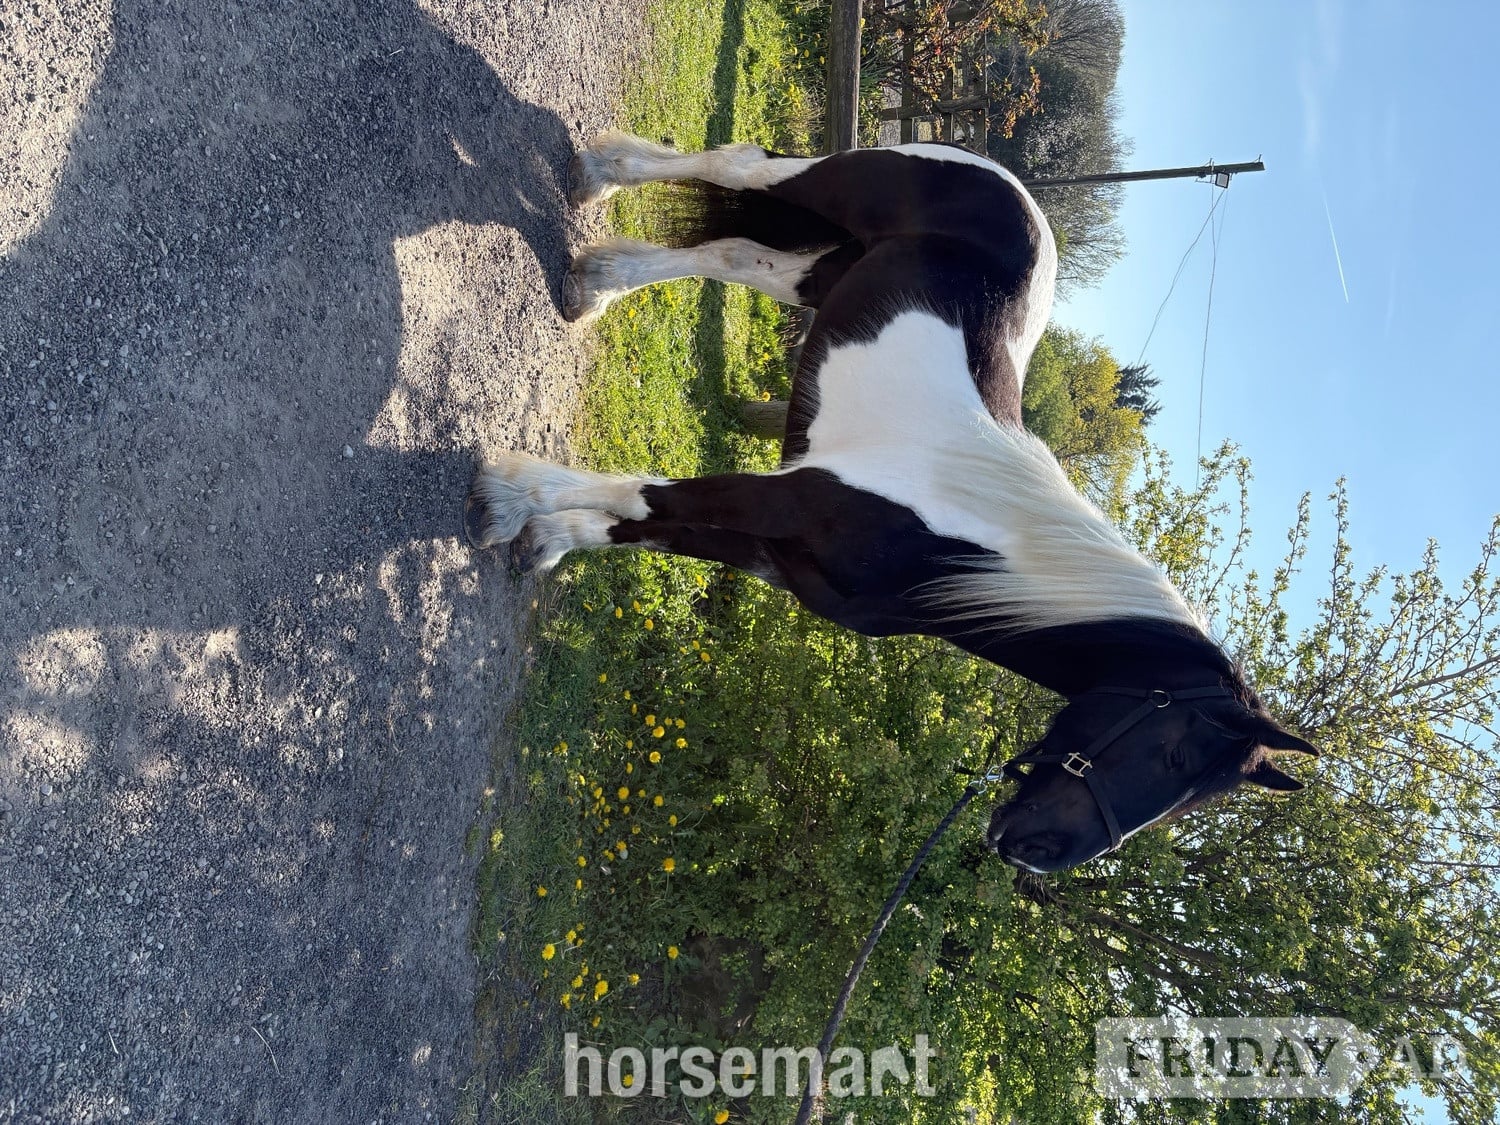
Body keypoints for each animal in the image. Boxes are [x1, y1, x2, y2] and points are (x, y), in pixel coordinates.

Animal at [465, 133, 1318, 873]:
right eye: (1174, 751)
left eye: (1193, 803)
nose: (1033, 852)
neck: (968, 545)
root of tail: (1016, 191)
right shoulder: (784, 503)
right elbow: (647, 497)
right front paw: (511, 498)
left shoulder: (775, 556)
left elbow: (646, 527)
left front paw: (549, 538)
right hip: (832, 188)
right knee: (741, 167)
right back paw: (603, 173)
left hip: (827, 272)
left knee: (736, 255)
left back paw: (599, 280)